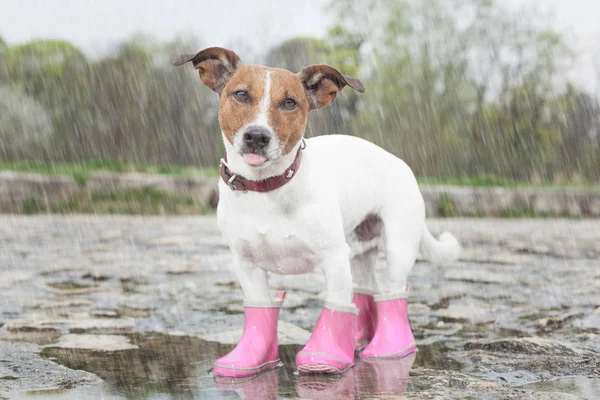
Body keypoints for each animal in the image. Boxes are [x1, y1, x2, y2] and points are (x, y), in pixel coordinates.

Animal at [173, 48, 460, 376]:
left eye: (289, 102)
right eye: (241, 94)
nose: (256, 136)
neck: (267, 188)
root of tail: (400, 163)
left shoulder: (333, 259)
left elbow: (336, 306)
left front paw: (326, 354)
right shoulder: (247, 265)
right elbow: (260, 311)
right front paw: (251, 360)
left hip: (398, 248)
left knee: (392, 294)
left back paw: (390, 347)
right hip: (360, 253)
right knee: (366, 290)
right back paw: (358, 338)